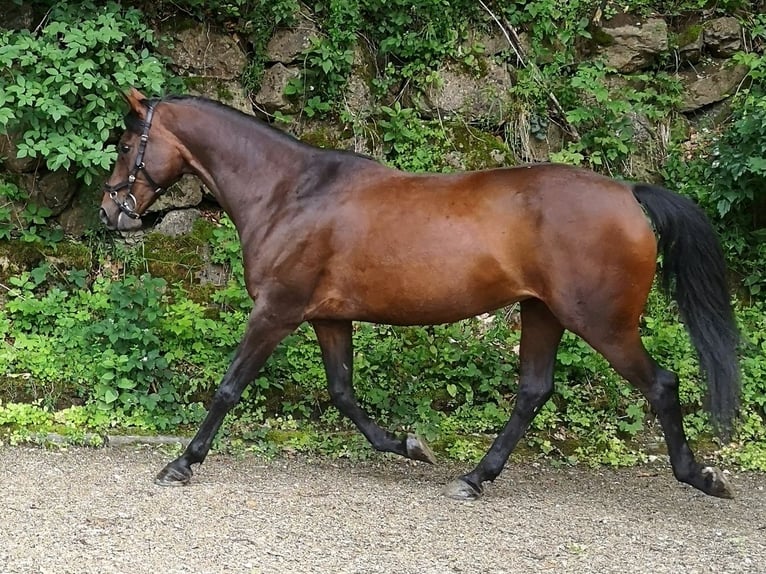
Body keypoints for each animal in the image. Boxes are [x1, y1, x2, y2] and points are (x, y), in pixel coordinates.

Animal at [99, 88, 740, 502]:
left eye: (128, 143)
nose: (110, 212)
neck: (290, 192)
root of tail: (629, 194)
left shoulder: (276, 312)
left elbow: (229, 388)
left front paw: (181, 463)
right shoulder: (329, 319)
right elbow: (344, 395)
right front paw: (409, 445)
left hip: (602, 322)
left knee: (661, 385)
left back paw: (702, 476)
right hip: (542, 313)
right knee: (533, 392)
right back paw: (474, 478)